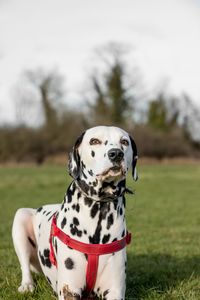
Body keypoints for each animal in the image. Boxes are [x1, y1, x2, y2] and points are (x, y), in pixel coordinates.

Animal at [12, 125, 138, 298]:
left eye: (124, 142)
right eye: (94, 141)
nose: (116, 154)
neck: (99, 210)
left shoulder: (114, 290)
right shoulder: (70, 289)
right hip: (21, 217)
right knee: (24, 266)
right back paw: (27, 285)